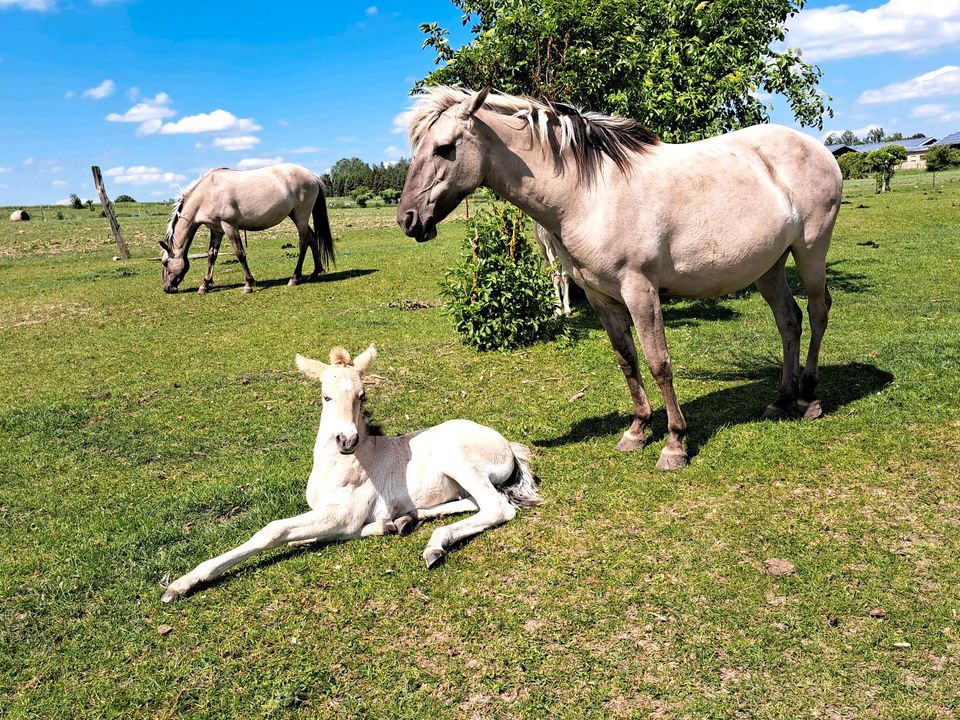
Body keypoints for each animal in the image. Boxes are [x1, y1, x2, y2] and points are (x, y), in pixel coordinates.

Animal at [159, 165, 336, 294]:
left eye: (166, 262)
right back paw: (315, 272)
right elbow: (211, 256)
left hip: (301, 216)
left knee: (303, 243)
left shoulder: (229, 226)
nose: (167, 288)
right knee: (312, 238)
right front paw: (205, 285)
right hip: (295, 215)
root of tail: (312, 176)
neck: (208, 193)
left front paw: (248, 284)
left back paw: (295, 277)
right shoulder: (216, 230)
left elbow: (240, 254)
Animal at [161, 344, 544, 600]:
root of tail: (506, 443)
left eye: (362, 395)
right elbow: (309, 535)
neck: (341, 463)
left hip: (457, 460)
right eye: (325, 396)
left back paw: (434, 545)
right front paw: (386, 525)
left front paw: (181, 583)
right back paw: (407, 520)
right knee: (472, 503)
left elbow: (274, 530)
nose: (346, 439)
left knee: (497, 507)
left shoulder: (343, 514)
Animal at [398, 88, 840, 472]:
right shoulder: (601, 297)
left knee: (818, 312)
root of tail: (819, 149)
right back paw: (782, 400)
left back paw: (810, 398)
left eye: (445, 148)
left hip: (810, 251)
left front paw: (674, 444)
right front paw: (637, 430)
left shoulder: (639, 290)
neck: (587, 195)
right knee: (789, 320)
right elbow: (627, 361)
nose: (408, 219)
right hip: (769, 266)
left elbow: (659, 363)